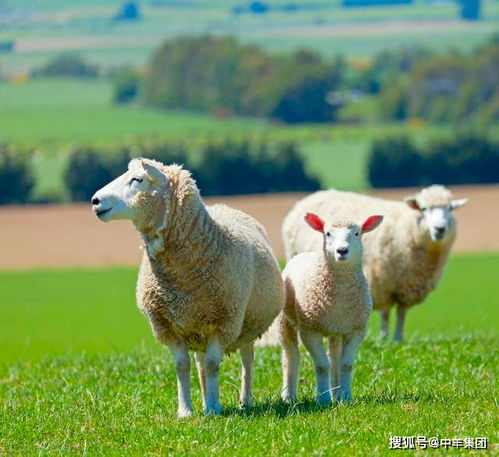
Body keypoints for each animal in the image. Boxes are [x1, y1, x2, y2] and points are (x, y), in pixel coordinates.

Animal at [91, 158, 284, 416]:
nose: (95, 200)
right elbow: (182, 366)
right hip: (199, 327)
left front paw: (214, 408)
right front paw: (185, 411)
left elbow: (213, 365)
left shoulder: (224, 322)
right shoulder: (166, 326)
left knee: (246, 360)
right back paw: (204, 400)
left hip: (246, 324)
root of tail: (224, 206)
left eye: (137, 179)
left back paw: (244, 400)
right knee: (201, 364)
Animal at [282, 211, 382, 402]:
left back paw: (336, 392)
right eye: (327, 233)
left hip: (336, 330)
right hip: (285, 321)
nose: (342, 251)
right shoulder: (309, 330)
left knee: (334, 358)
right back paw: (288, 396)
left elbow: (346, 364)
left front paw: (345, 397)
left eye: (357, 233)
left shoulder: (356, 329)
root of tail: (303, 254)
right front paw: (323, 399)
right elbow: (322, 365)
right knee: (291, 356)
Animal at [284, 183, 470, 340]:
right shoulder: (383, 282)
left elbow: (401, 313)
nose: (440, 229)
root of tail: (316, 194)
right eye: (424, 209)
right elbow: (385, 313)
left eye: (450, 208)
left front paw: (398, 338)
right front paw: (384, 338)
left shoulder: (407, 285)